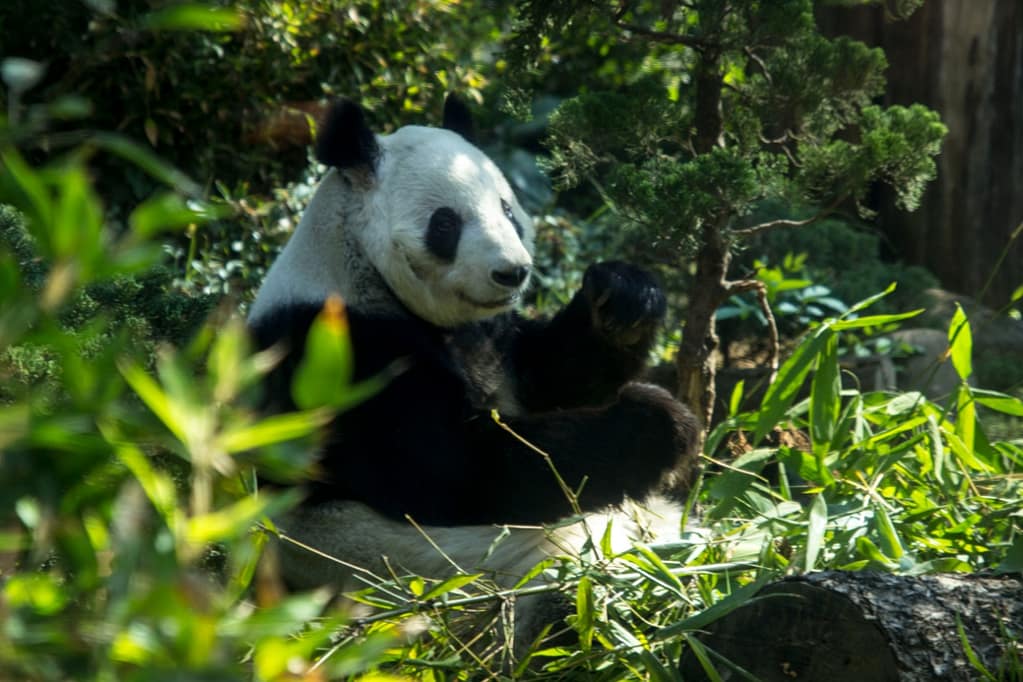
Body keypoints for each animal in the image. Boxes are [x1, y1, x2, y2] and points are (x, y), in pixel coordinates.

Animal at [247, 94, 699, 650]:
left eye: (507, 209)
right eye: (446, 224)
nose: (512, 272)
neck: (359, 268)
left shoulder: (489, 337)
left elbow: (553, 376)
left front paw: (624, 299)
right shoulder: (338, 353)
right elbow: (461, 474)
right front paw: (660, 421)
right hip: (435, 577)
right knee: (567, 595)